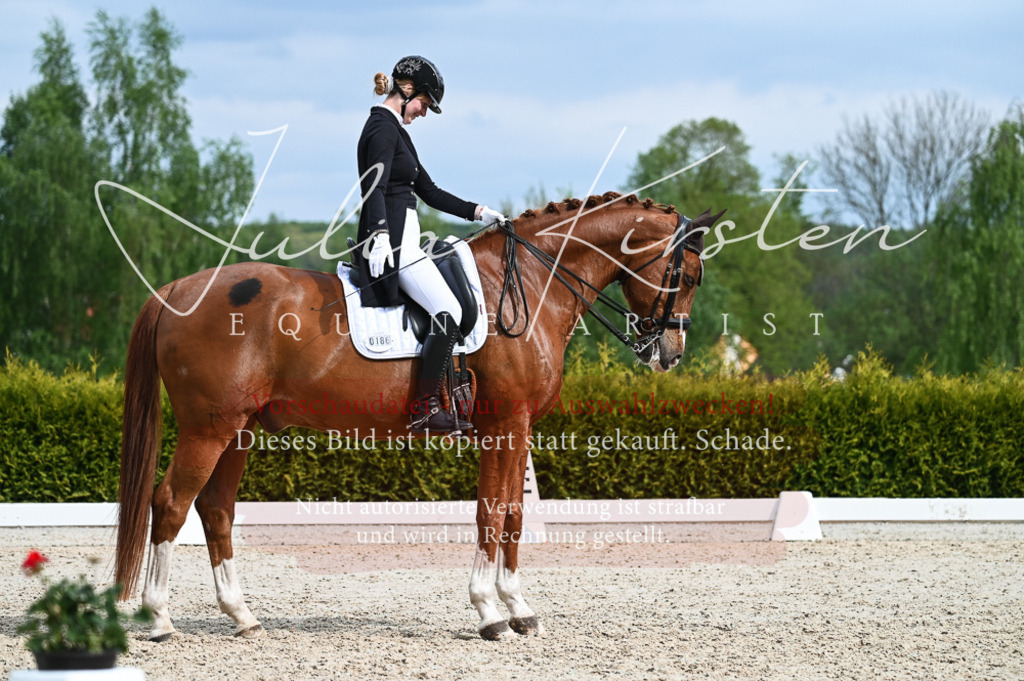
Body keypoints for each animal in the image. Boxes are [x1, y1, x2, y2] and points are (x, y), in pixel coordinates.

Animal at [115, 190, 723, 641]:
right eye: (689, 277)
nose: (669, 354)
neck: (528, 281)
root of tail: (175, 290)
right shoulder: (506, 425)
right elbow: (490, 514)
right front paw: (490, 613)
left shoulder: (516, 427)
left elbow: (513, 516)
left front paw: (519, 608)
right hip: (208, 429)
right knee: (170, 505)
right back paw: (160, 619)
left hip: (238, 430)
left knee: (215, 510)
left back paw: (243, 617)